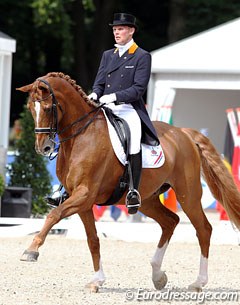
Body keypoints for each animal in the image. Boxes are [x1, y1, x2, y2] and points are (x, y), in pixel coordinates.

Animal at [17, 72, 240, 292]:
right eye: (30, 108)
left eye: (47, 107)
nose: (43, 147)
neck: (81, 136)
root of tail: (184, 133)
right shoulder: (82, 201)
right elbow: (93, 239)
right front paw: (97, 280)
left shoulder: (85, 194)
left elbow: (53, 215)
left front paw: (31, 250)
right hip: (148, 199)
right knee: (170, 222)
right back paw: (158, 275)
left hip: (188, 195)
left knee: (203, 229)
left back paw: (198, 282)